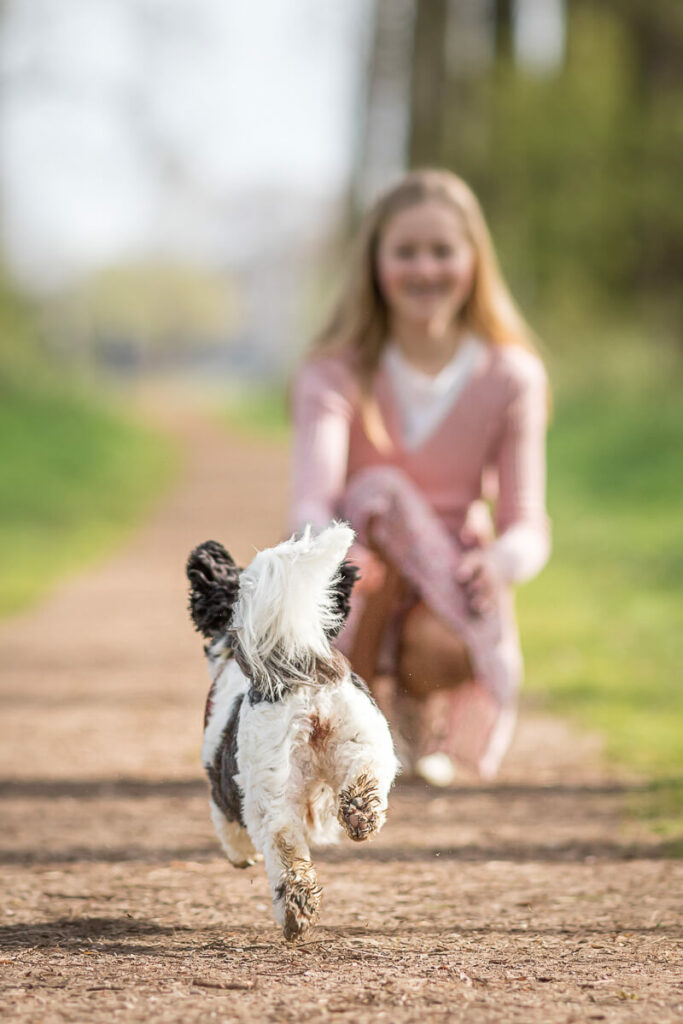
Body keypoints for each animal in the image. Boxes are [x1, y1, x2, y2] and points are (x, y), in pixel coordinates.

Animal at [187, 524, 401, 937]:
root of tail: (299, 672)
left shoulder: (221, 794)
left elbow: (227, 828)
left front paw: (241, 856)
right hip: (361, 734)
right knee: (366, 775)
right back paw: (360, 814)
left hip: (265, 784)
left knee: (280, 841)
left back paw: (293, 906)